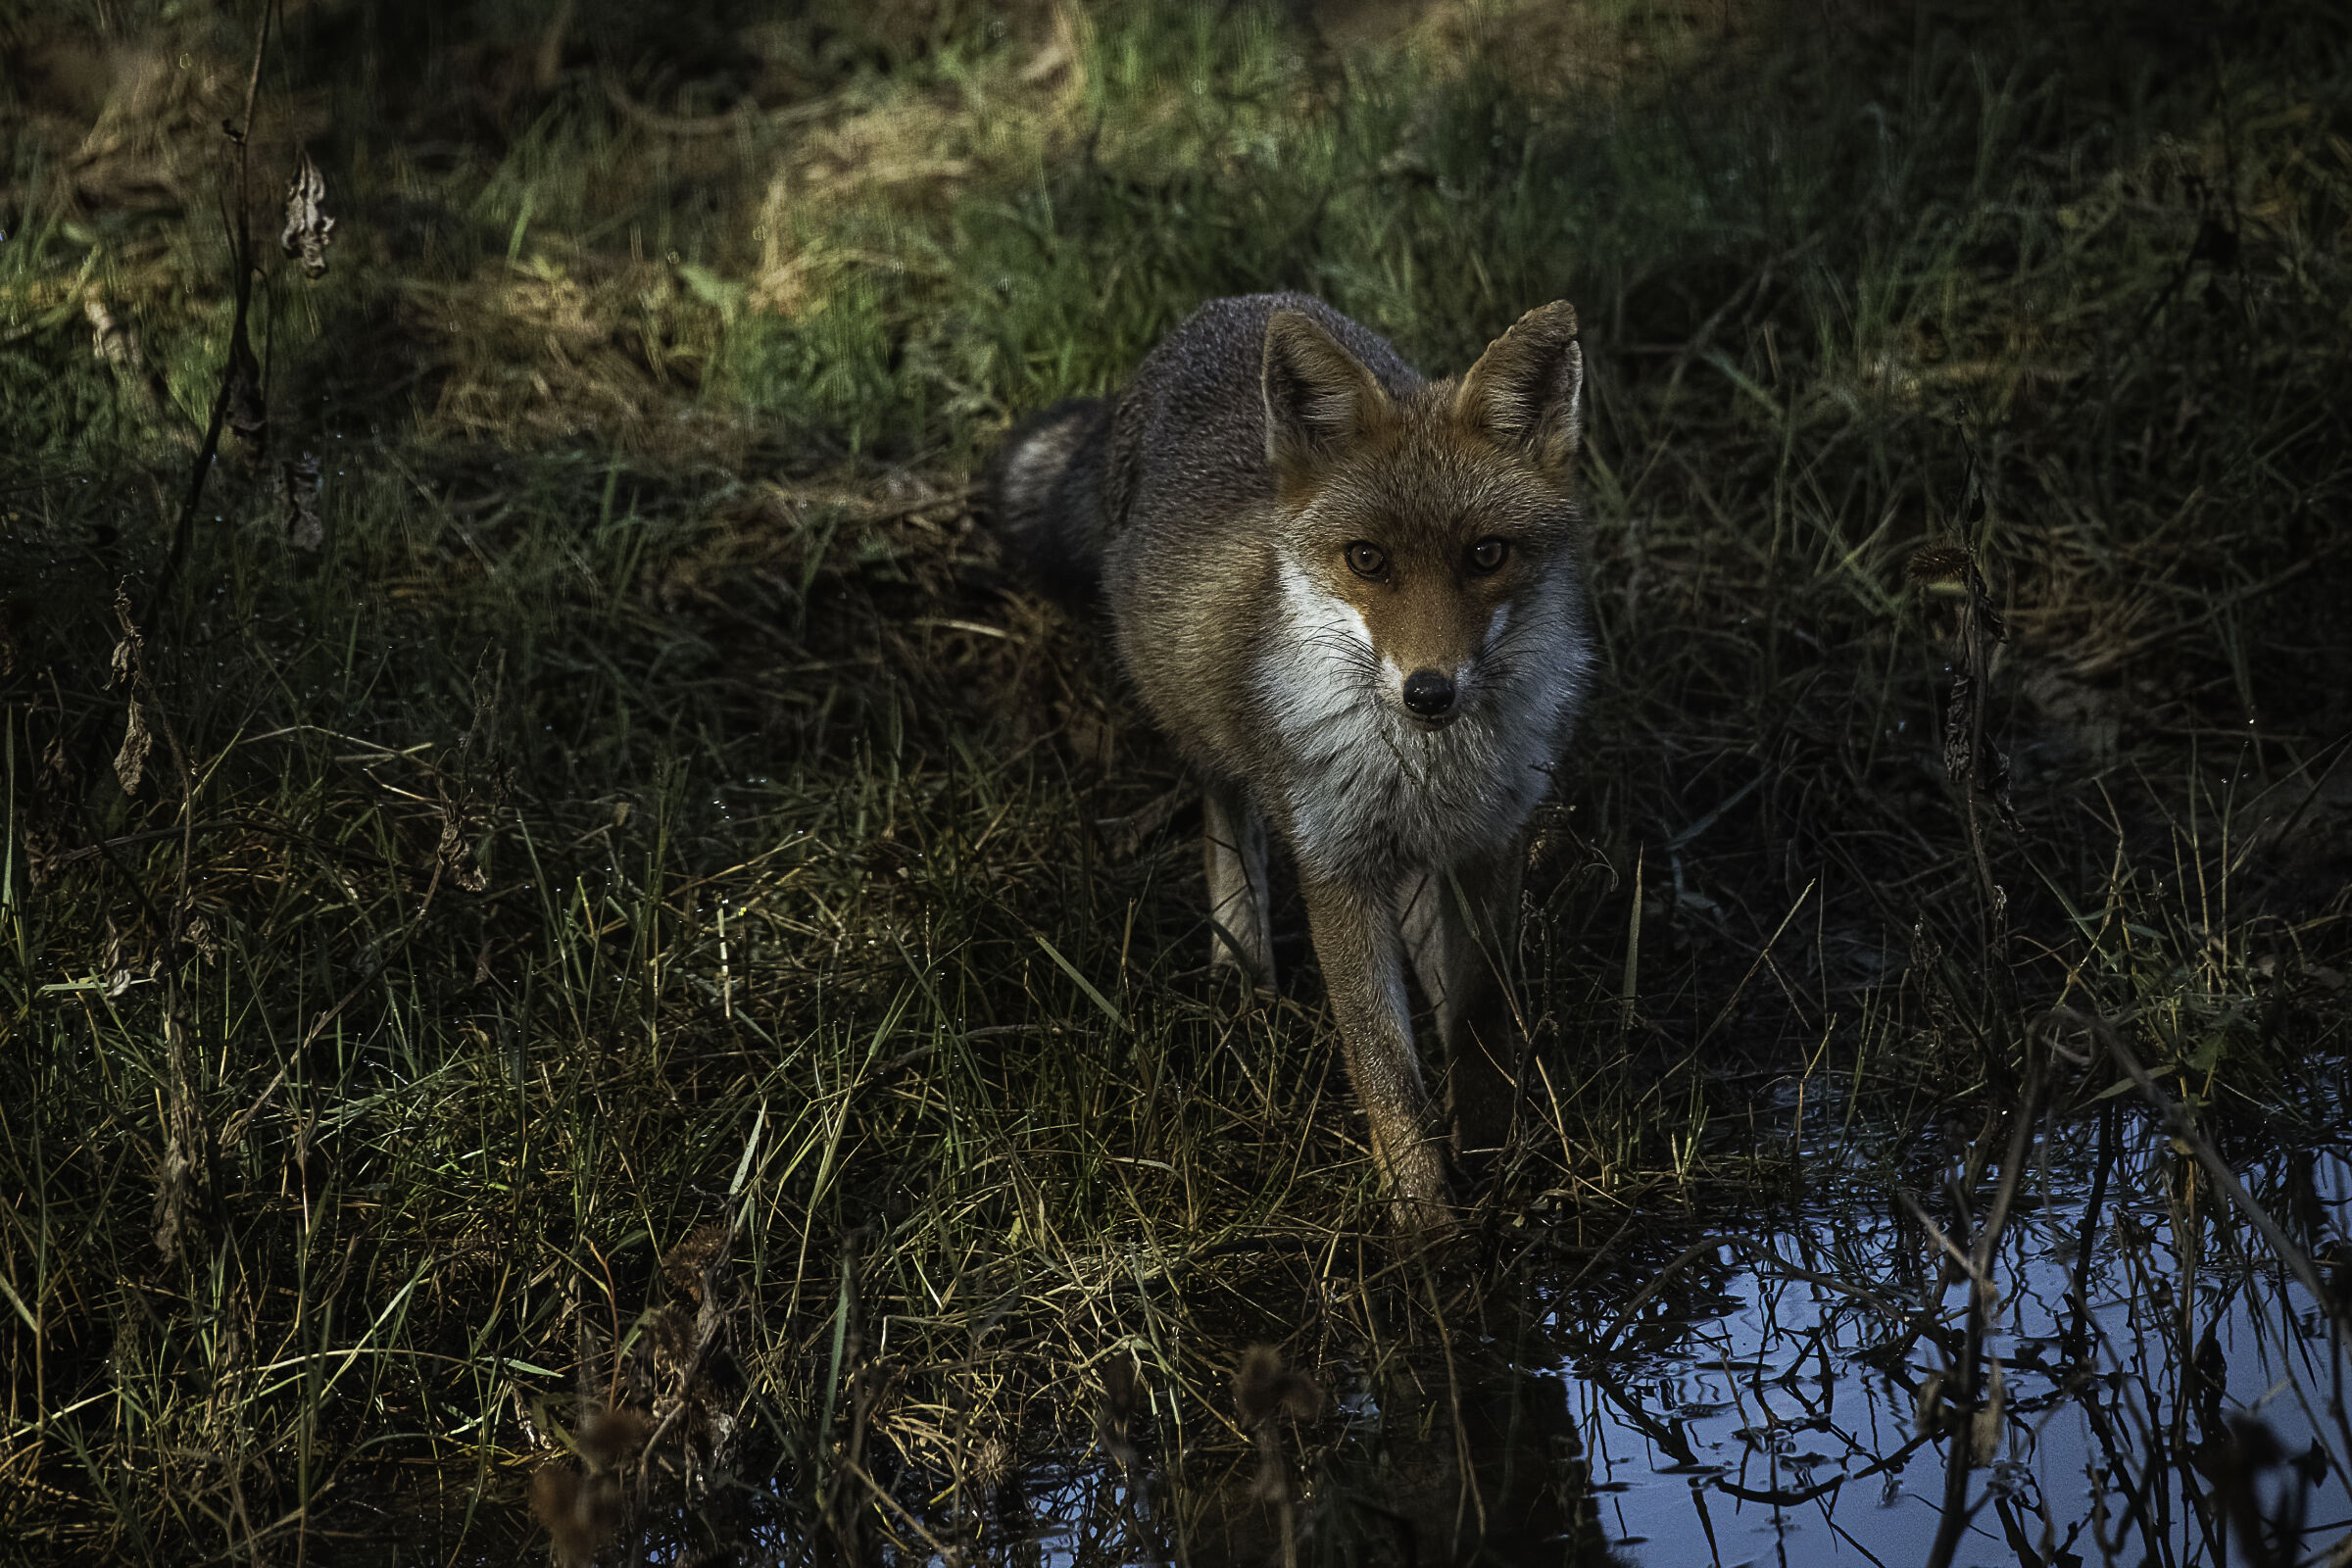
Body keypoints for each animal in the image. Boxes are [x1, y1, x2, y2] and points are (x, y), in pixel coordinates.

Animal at [989, 292, 1593, 1227]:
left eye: (1487, 554)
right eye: (1368, 561)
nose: (1429, 692)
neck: (1427, 772)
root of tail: (1228, 308)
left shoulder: (1491, 844)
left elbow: (1479, 1025)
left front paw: (1495, 1172)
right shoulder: (1334, 862)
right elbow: (1384, 1068)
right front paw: (1429, 1230)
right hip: (1199, 723)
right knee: (1223, 818)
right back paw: (1244, 975)